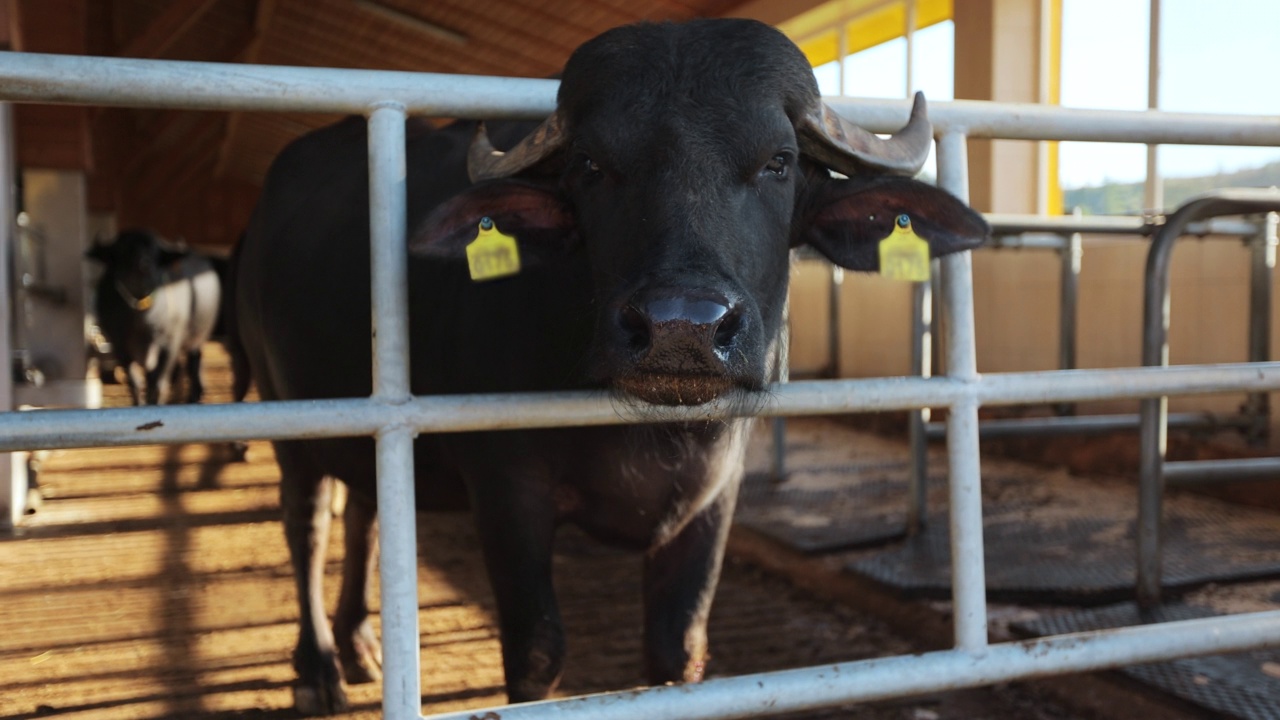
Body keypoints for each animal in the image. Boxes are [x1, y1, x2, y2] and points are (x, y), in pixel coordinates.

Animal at [86, 233, 221, 407]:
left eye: (155, 252)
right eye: (122, 250)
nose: (144, 265)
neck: (142, 321)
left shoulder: (169, 345)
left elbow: (159, 384)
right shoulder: (120, 347)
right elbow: (135, 383)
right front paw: (139, 403)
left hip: (196, 338)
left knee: (193, 362)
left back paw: (194, 396)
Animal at [232, 16, 988, 712]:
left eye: (778, 161)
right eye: (591, 167)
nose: (682, 327)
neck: (649, 432)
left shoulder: (714, 497)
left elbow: (677, 649)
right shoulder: (506, 489)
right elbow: (537, 651)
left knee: (363, 509)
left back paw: (358, 641)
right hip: (284, 408)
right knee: (308, 520)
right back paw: (319, 667)